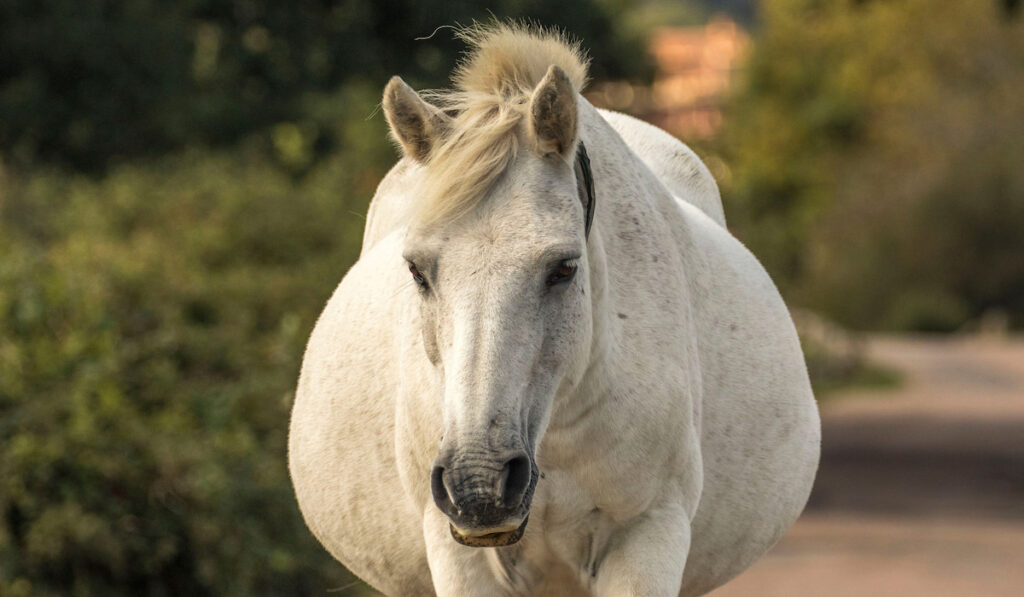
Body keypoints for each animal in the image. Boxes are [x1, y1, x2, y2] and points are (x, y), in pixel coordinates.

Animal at [286, 25, 815, 597]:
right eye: (416, 271)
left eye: (563, 267)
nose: (480, 484)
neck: (553, 435)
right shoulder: (460, 557)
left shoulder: (648, 535)